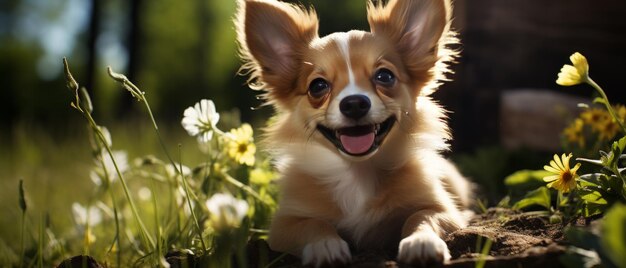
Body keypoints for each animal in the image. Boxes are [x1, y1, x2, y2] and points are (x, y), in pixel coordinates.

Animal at [236, 0, 470, 266]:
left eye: (385, 76)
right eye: (317, 86)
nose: (354, 103)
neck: (357, 172)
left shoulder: (444, 210)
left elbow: (421, 217)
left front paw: (421, 242)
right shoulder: (283, 225)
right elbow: (313, 225)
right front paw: (325, 246)